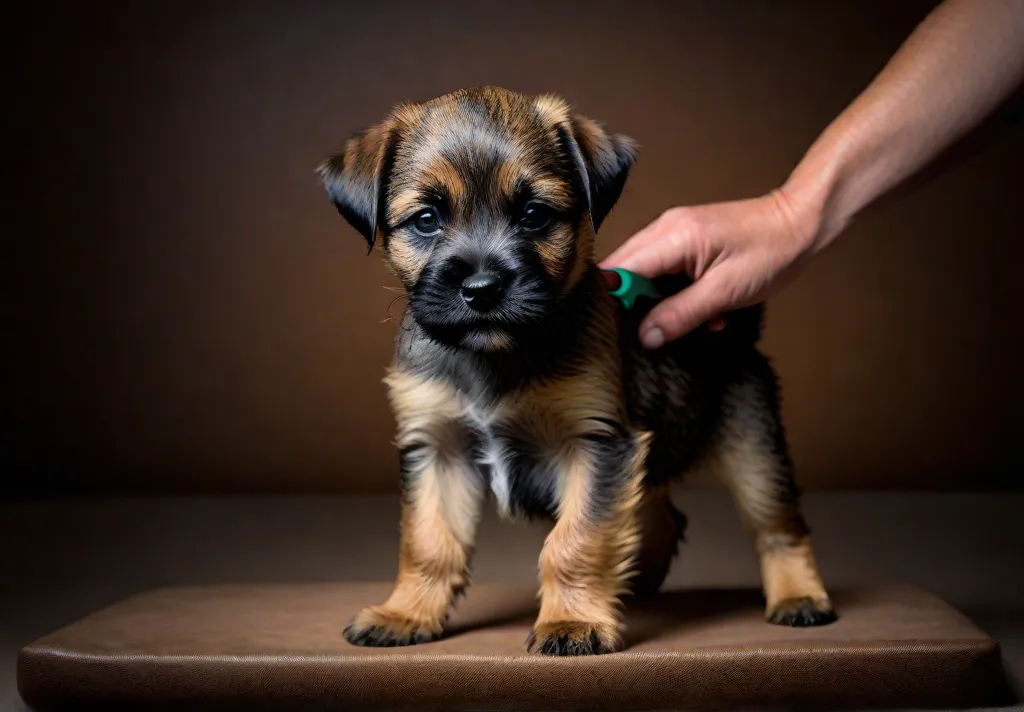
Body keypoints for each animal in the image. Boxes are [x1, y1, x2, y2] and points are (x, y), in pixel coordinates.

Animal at [313, 85, 831, 655]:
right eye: (426, 220)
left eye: (534, 215)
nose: (482, 289)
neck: (496, 357)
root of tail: (738, 329)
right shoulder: (438, 449)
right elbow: (429, 541)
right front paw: (406, 613)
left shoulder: (596, 444)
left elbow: (575, 539)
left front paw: (571, 621)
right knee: (662, 515)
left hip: (752, 449)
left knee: (779, 524)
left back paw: (799, 597)